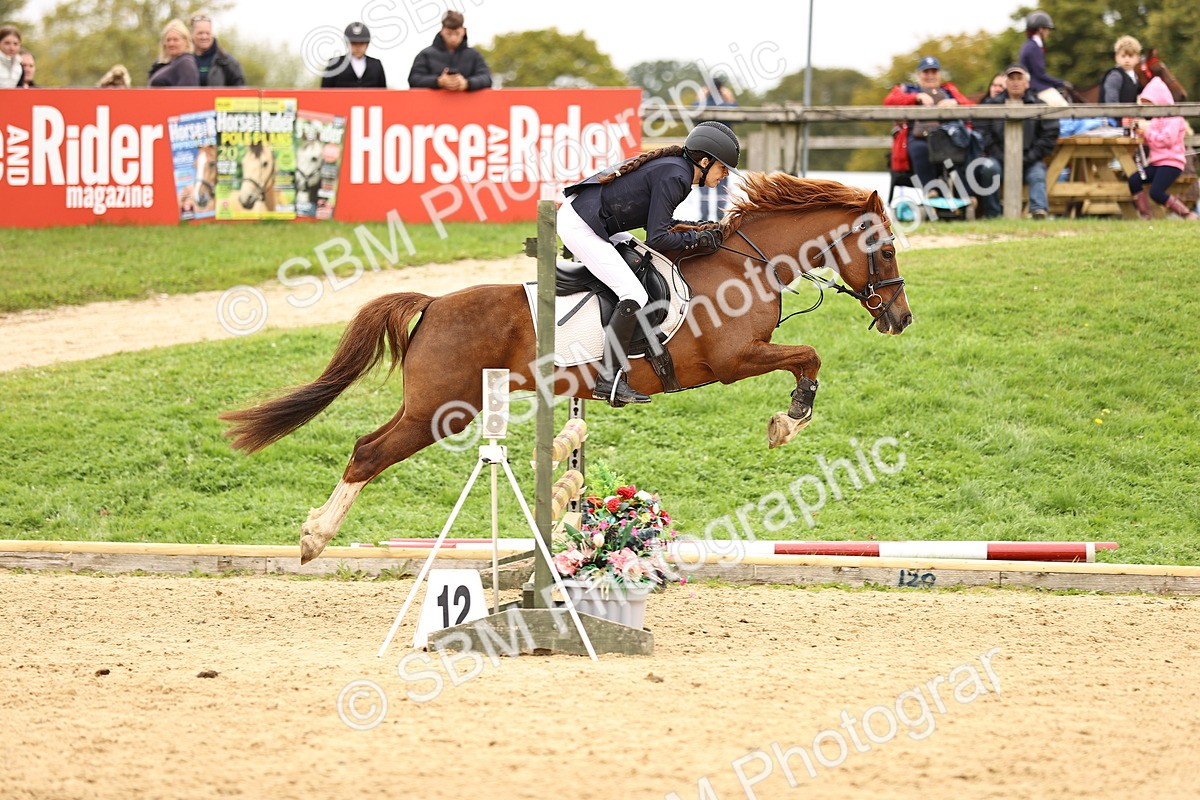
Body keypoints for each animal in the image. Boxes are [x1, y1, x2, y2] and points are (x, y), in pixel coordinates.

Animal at [219, 173, 913, 564]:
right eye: (883, 247)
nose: (901, 318)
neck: (750, 263)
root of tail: (434, 303)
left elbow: (805, 357)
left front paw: (788, 418)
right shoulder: (732, 360)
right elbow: (807, 356)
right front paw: (788, 421)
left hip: (435, 406)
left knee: (370, 443)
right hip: (441, 411)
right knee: (368, 452)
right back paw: (314, 538)